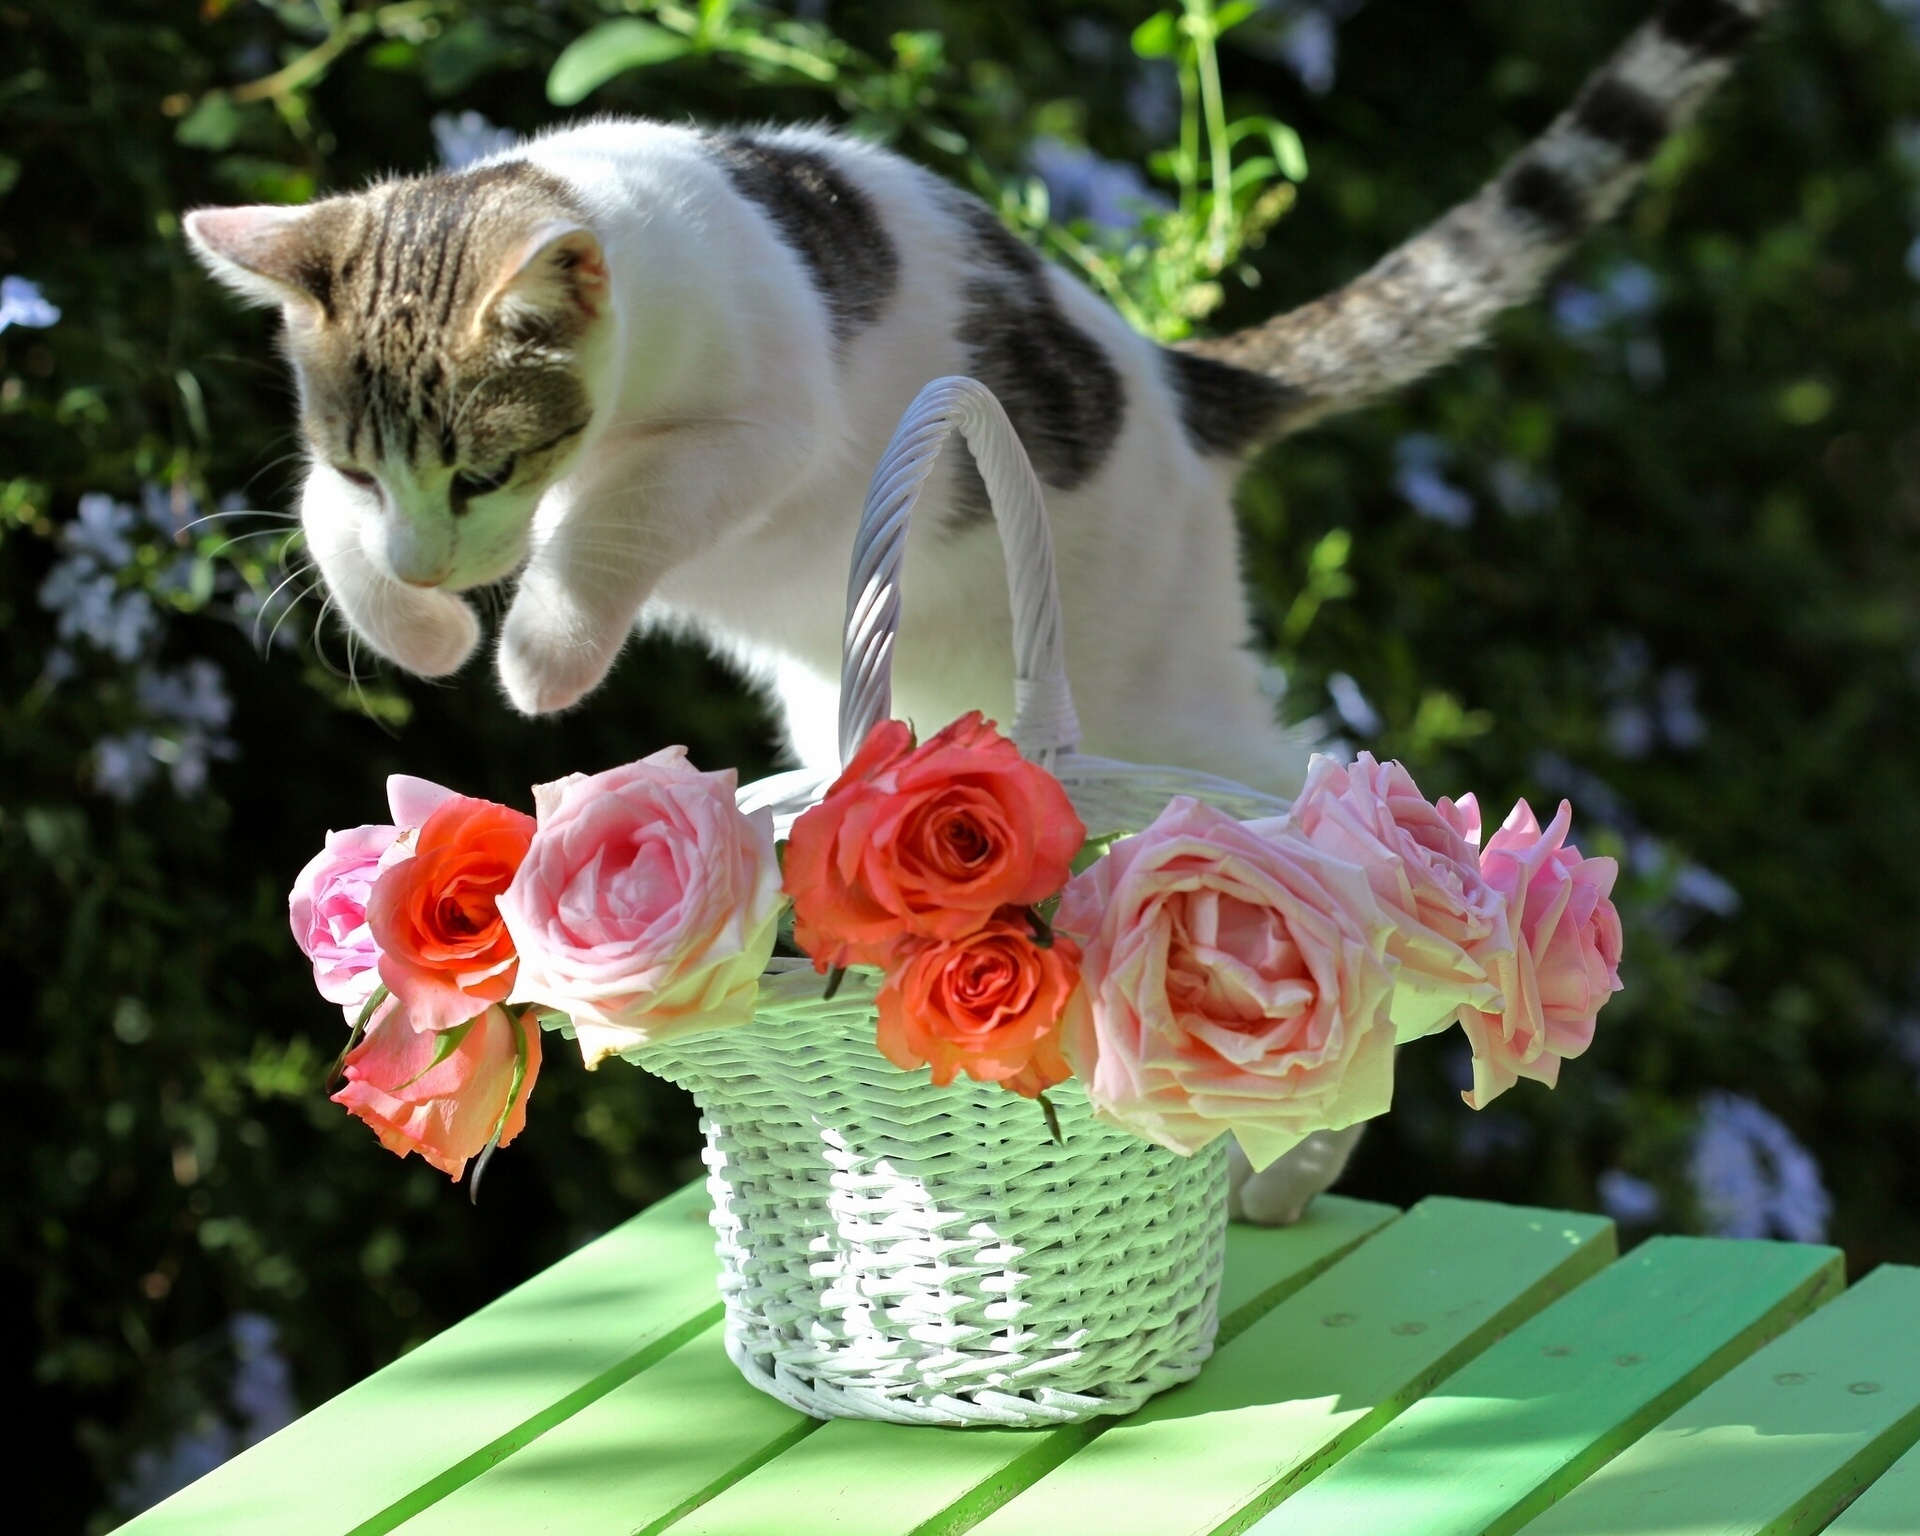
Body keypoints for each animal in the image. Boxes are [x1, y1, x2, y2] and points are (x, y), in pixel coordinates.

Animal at [187, 0, 1774, 1221]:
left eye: (484, 467)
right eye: (366, 461)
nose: (440, 564)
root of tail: (1181, 382)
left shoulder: (758, 434)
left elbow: (615, 520)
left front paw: (537, 651)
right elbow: (324, 530)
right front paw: (414, 622)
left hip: (1159, 685)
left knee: (1319, 823)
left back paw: (1308, 1132)